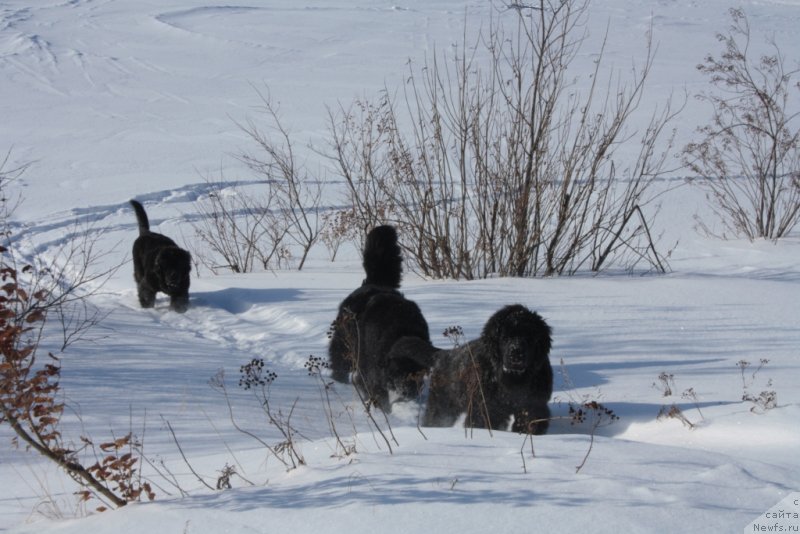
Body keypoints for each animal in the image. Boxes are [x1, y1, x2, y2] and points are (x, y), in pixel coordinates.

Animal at [326, 225, 434, 410]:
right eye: (400, 373)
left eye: (419, 373)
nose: (410, 393)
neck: (402, 331)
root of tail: (374, 282)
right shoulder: (371, 368)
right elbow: (374, 387)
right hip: (344, 342)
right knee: (339, 362)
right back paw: (339, 382)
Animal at [422, 306, 552, 436]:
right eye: (504, 338)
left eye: (528, 337)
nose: (516, 352)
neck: (512, 378)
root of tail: (442, 355)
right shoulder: (487, 408)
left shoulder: (532, 406)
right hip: (442, 405)